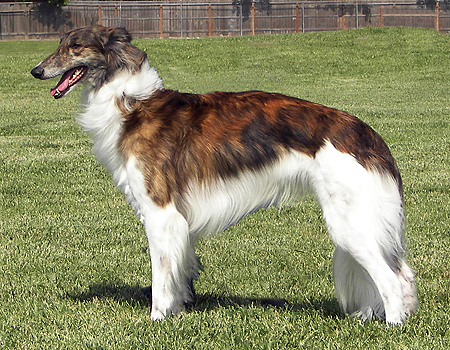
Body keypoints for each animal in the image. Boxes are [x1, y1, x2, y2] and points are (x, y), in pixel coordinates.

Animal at [31, 26, 418, 324]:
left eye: (75, 46)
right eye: (60, 43)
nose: (35, 71)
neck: (130, 103)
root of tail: (366, 133)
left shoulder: (160, 213)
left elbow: (160, 277)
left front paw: (157, 319)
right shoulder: (177, 222)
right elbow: (179, 275)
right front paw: (178, 311)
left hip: (350, 223)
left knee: (390, 280)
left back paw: (393, 327)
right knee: (403, 274)